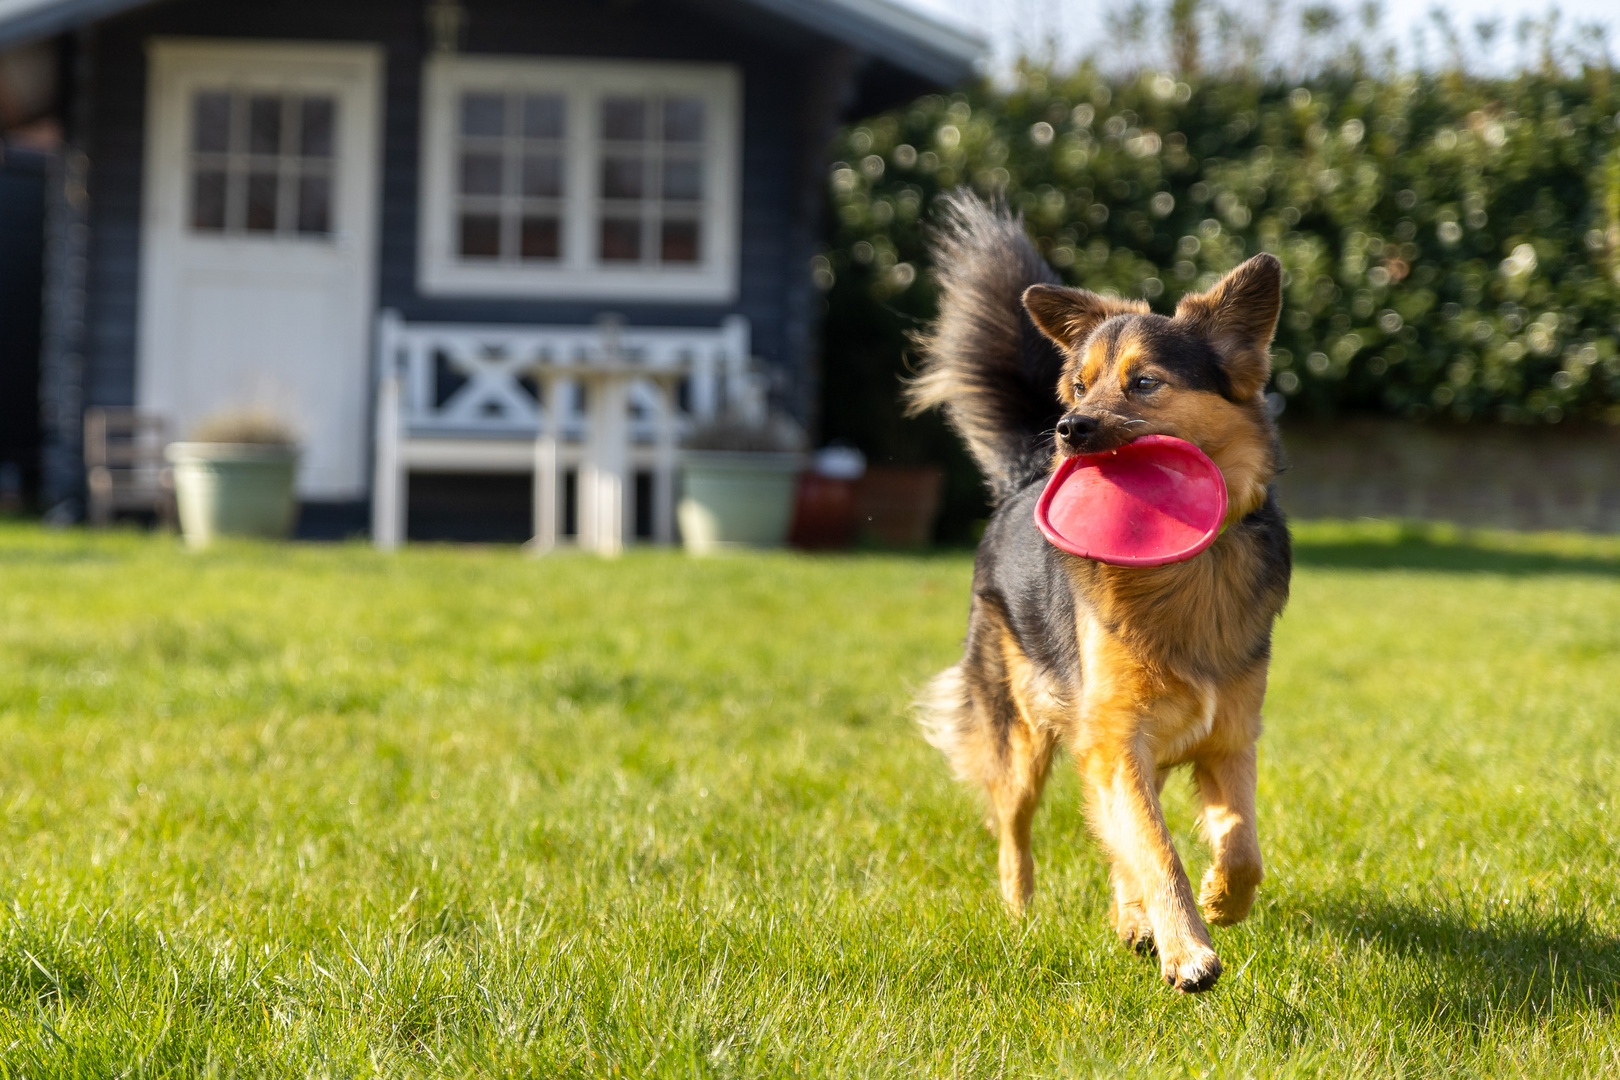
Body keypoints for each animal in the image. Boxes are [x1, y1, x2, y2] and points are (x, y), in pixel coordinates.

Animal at [913, 196, 1289, 997]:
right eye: (1081, 387)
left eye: (1144, 383)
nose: (1067, 427)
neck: (1186, 571)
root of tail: (1024, 475)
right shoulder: (1116, 735)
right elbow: (1155, 847)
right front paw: (1188, 947)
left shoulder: (1228, 735)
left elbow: (1240, 843)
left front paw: (1222, 899)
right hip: (1022, 733)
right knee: (1016, 828)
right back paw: (1024, 913)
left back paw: (1133, 919)